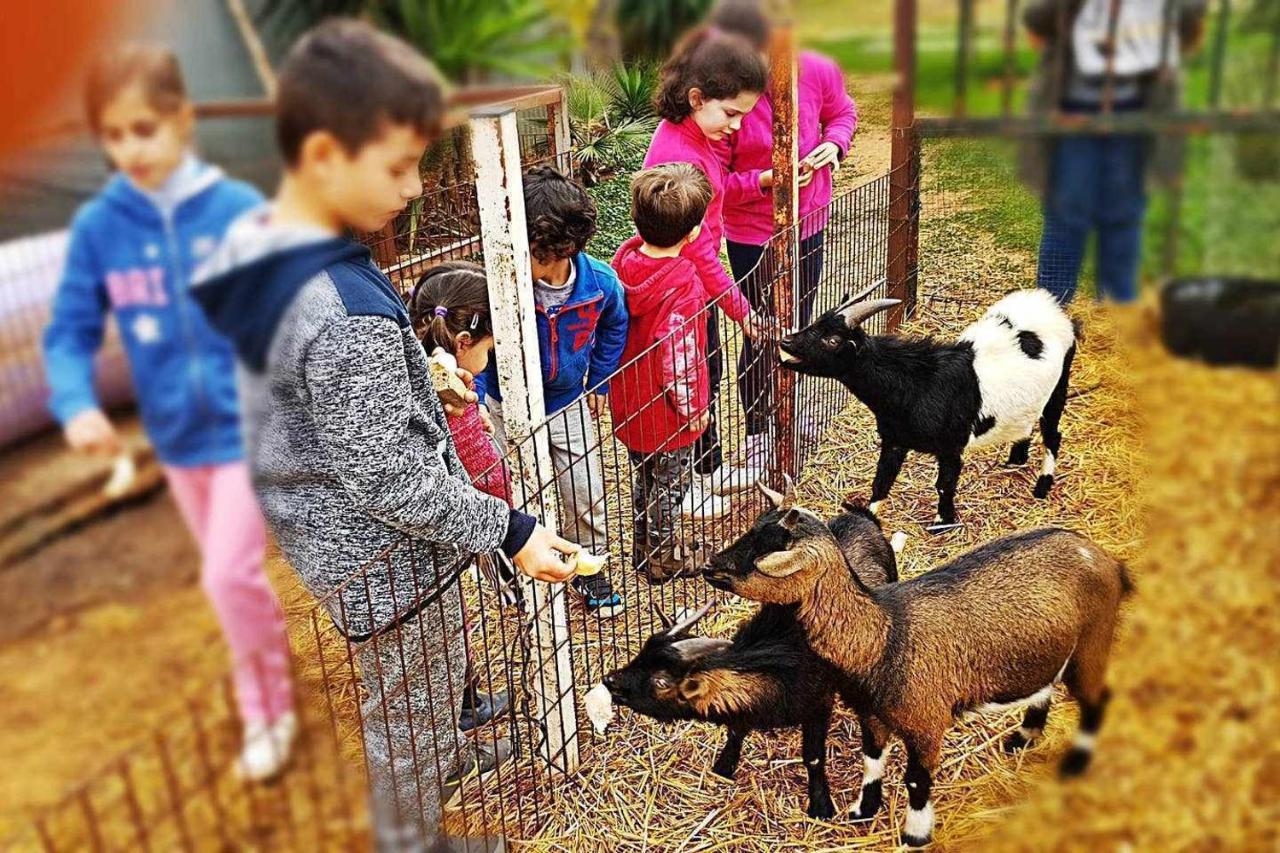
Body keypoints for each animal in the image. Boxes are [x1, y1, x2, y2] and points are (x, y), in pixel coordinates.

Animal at [601, 494, 896, 819]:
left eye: (661, 682)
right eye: (644, 649)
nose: (610, 680)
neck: (779, 665)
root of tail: (864, 516)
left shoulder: (818, 704)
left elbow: (814, 757)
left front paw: (820, 804)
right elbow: (735, 730)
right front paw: (724, 766)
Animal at [706, 484, 1136, 845]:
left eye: (766, 550)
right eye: (750, 531)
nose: (710, 565)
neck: (883, 635)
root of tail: (1107, 560)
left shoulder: (927, 723)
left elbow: (917, 781)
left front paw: (915, 835)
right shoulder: (872, 715)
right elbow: (872, 760)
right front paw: (863, 810)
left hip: (1092, 643)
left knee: (1098, 698)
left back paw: (1074, 764)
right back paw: (1023, 737)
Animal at [778, 289, 1080, 535]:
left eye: (832, 339)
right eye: (816, 322)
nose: (786, 342)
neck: (916, 384)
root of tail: (1048, 306)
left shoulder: (951, 448)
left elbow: (944, 484)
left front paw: (943, 523)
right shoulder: (895, 440)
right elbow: (881, 480)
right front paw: (869, 516)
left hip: (1058, 390)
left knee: (1053, 436)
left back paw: (1042, 487)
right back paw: (1015, 461)